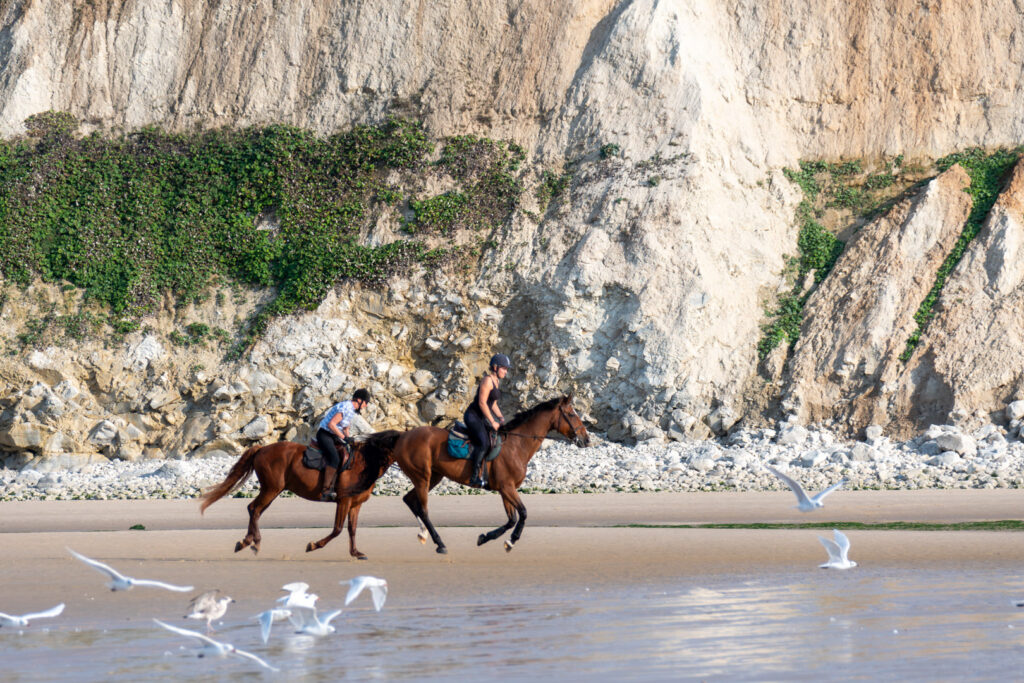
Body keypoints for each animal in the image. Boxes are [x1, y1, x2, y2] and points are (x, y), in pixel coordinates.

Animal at [199, 430, 402, 559]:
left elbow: (352, 529)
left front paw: (356, 553)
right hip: (271, 489)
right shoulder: (344, 501)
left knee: (254, 509)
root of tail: (262, 449)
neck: (364, 463)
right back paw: (253, 542)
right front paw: (313, 545)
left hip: (273, 490)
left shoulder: (356, 504)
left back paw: (247, 541)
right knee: (254, 509)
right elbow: (337, 529)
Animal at [392, 395, 590, 554]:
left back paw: (424, 534)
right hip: (422, 477)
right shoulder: (507, 487)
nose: (587, 439)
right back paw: (439, 543)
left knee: (409, 500)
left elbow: (511, 519)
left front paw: (486, 537)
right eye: (572, 414)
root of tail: (403, 437)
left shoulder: (505, 489)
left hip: (433, 477)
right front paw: (511, 541)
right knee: (423, 509)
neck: (517, 445)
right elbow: (523, 513)